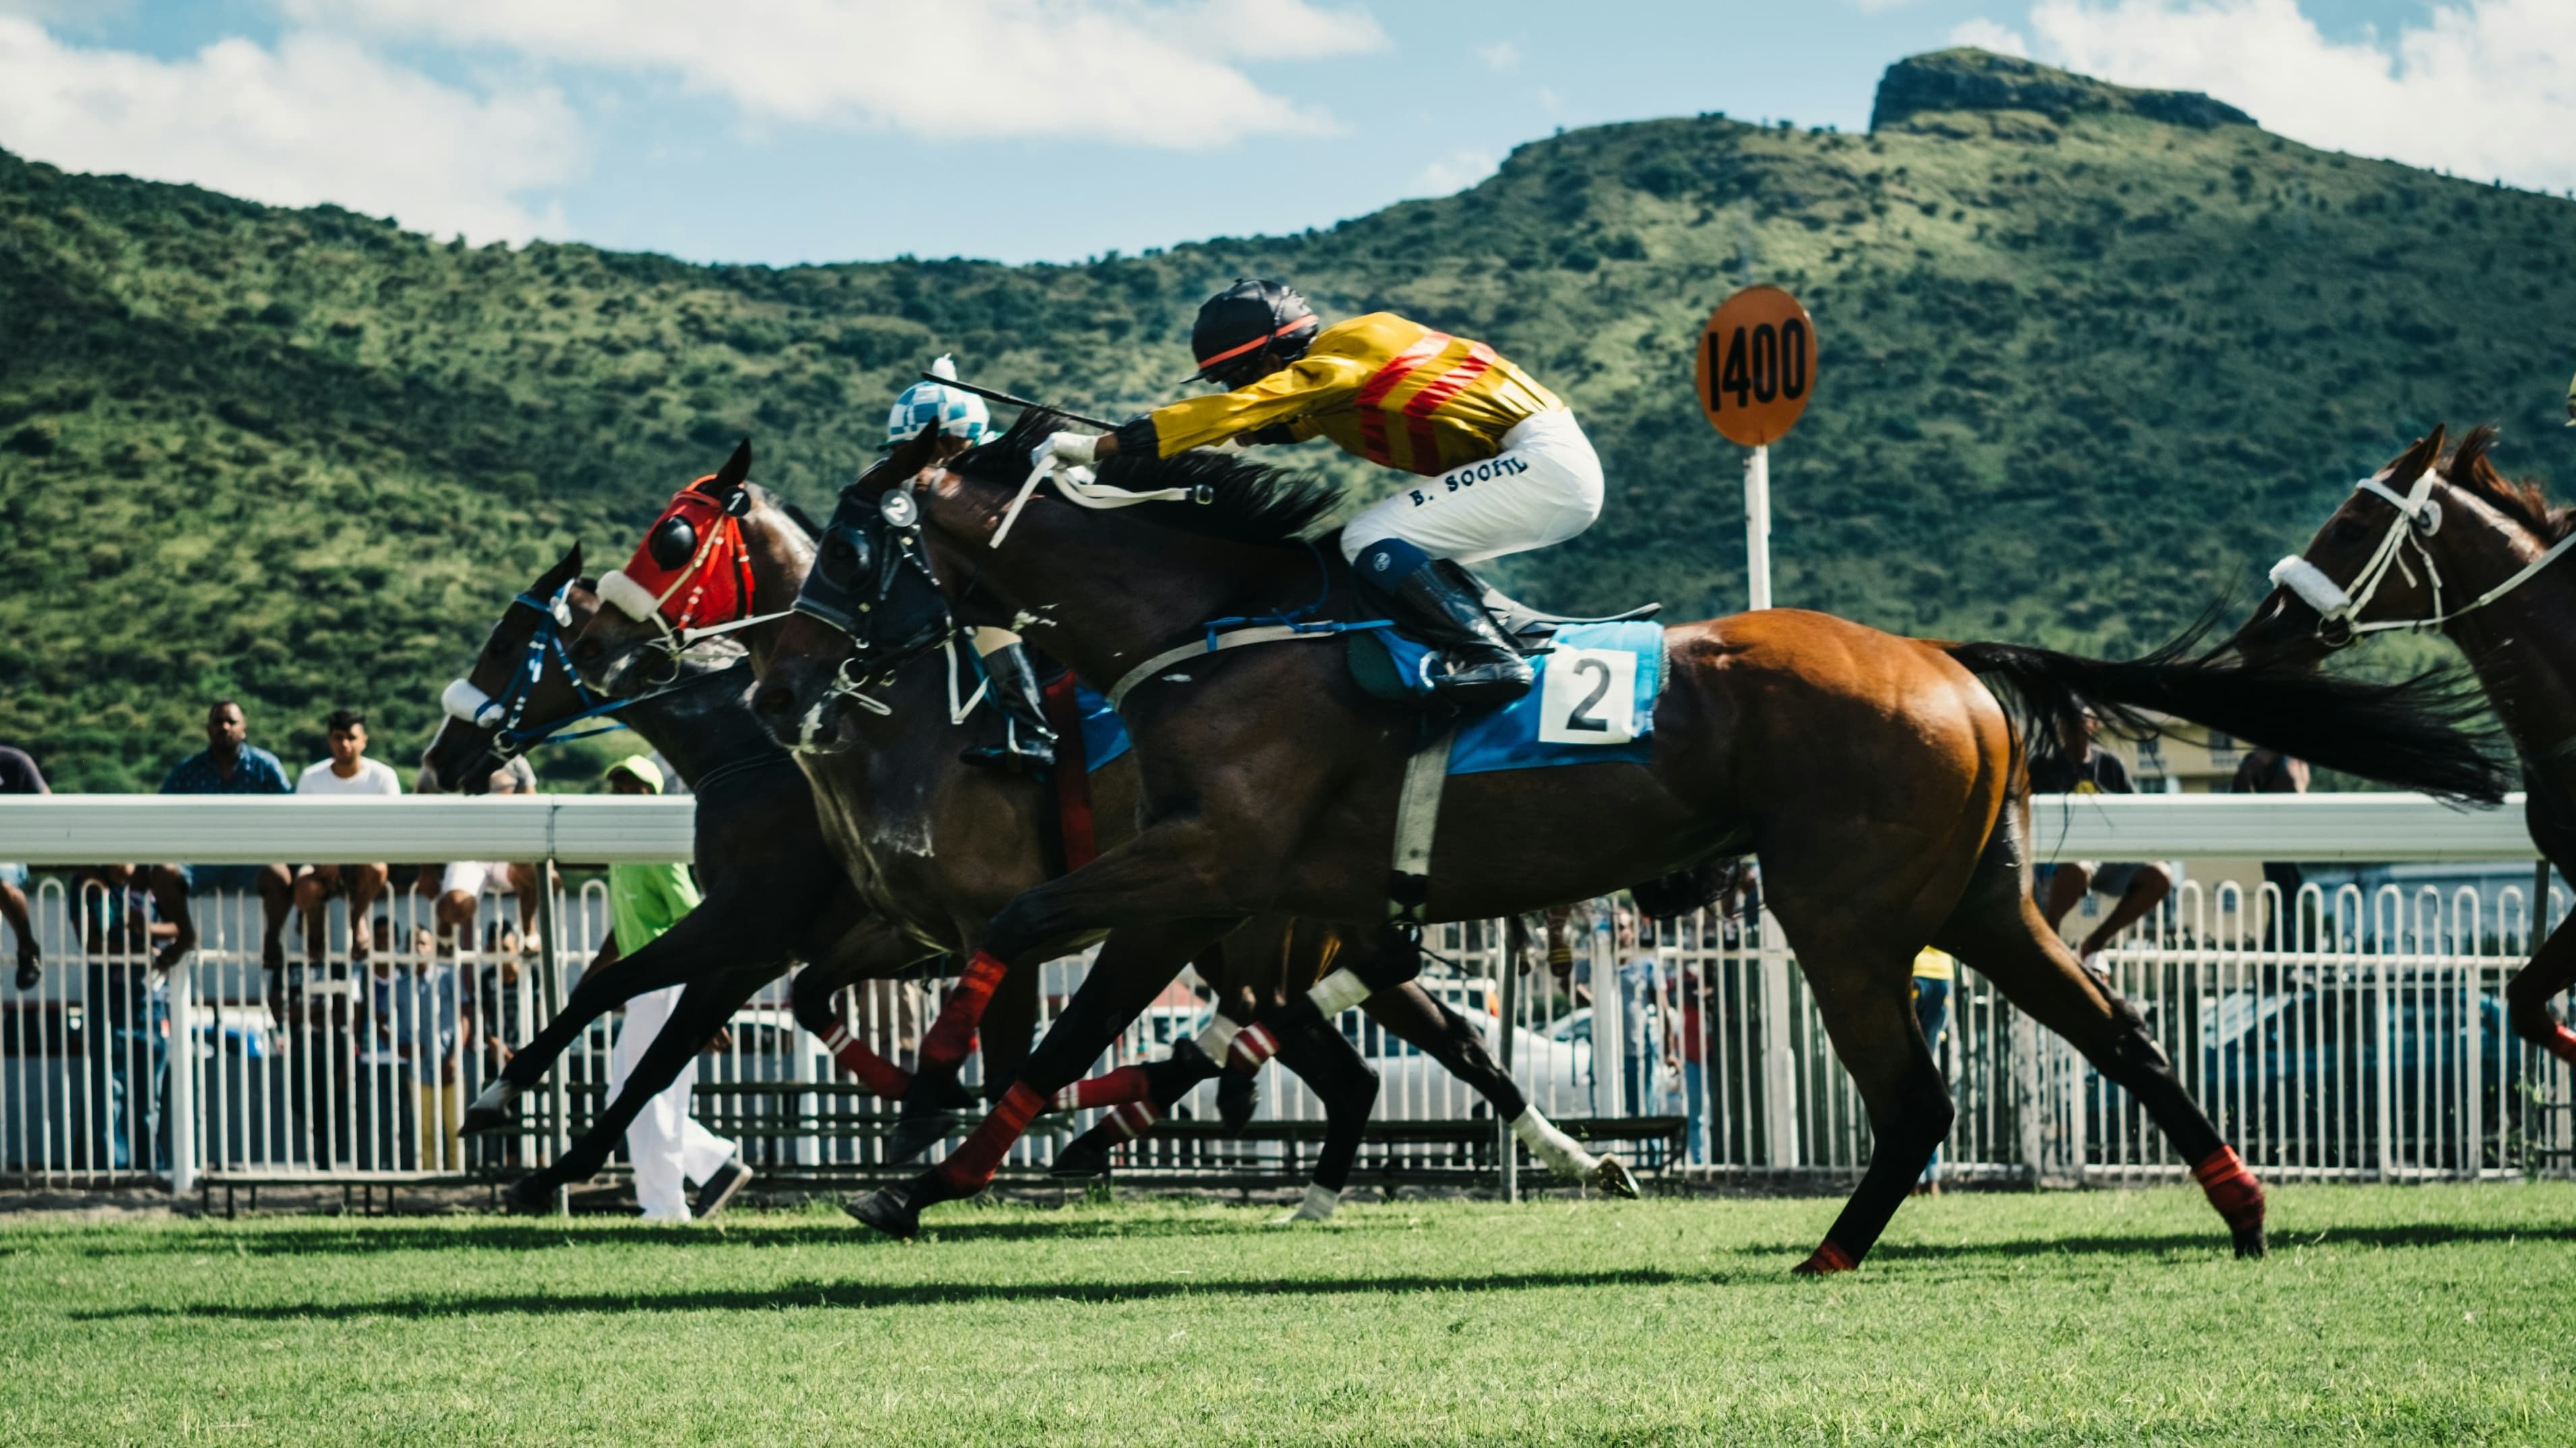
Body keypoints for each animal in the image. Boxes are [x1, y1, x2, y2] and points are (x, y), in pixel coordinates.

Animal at [755, 409, 2509, 1266]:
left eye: (851, 536)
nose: (788, 673)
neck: (1216, 626)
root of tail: (1947, 663)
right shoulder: (1224, 897)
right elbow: (1074, 1024)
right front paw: (923, 1170)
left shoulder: (1203, 872)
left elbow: (1013, 954)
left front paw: (918, 1117)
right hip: (1979, 901)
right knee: (2118, 1036)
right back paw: (2239, 1206)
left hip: (1841, 909)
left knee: (1917, 1094)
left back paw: (1832, 1251)